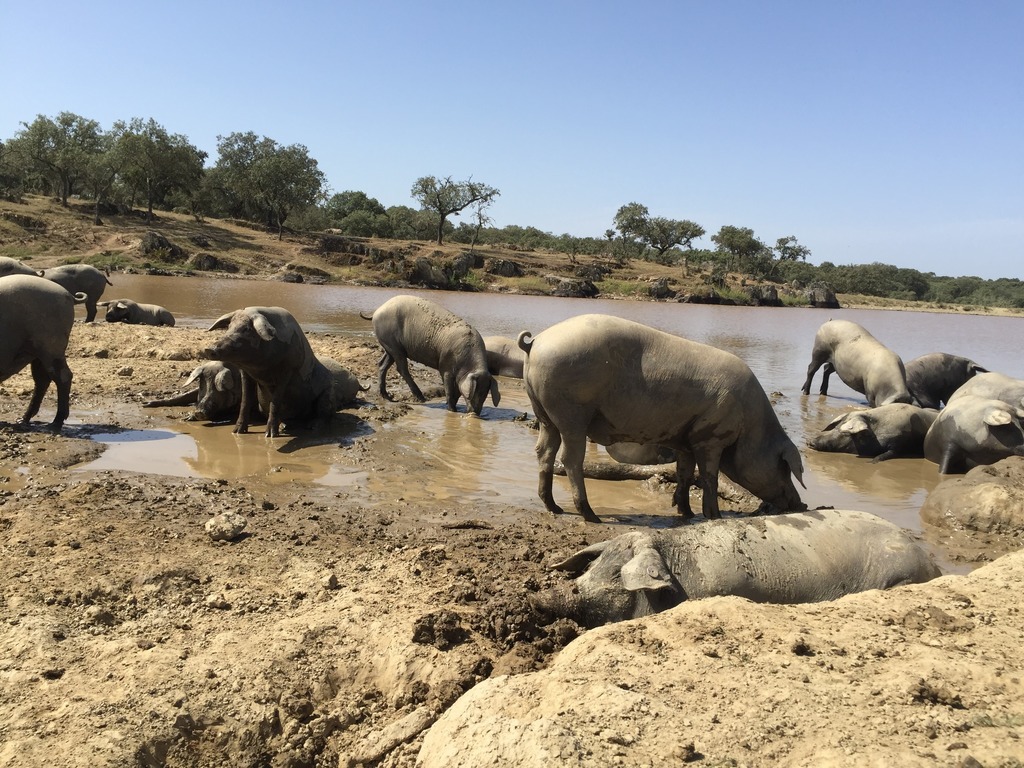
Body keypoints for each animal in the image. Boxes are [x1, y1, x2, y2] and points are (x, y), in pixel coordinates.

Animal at [198, 307, 364, 438]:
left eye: (246, 329)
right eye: (230, 327)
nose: (209, 348)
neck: (261, 369)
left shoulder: (287, 371)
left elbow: (276, 401)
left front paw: (270, 436)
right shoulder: (246, 373)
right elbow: (245, 400)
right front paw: (236, 432)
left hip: (328, 393)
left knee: (325, 415)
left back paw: (311, 426)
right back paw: (285, 426)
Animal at [524, 313, 802, 524]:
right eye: (784, 467)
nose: (801, 503)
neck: (751, 425)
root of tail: (536, 341)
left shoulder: (686, 440)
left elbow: (685, 473)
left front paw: (685, 513)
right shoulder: (710, 438)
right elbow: (709, 476)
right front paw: (715, 517)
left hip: (545, 413)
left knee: (543, 451)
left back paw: (554, 507)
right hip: (571, 414)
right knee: (570, 459)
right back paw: (591, 516)